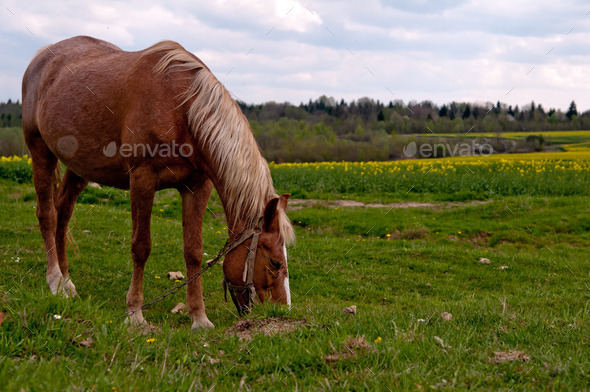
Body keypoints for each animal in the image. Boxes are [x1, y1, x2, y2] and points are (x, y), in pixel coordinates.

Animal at [22, 35, 296, 330]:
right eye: (275, 263)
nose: (281, 311)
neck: (181, 108)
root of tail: (40, 59)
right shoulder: (143, 179)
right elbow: (141, 247)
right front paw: (135, 312)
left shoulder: (197, 187)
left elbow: (193, 251)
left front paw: (199, 317)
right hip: (40, 150)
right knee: (47, 214)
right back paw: (54, 281)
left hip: (79, 167)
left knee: (63, 214)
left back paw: (67, 282)